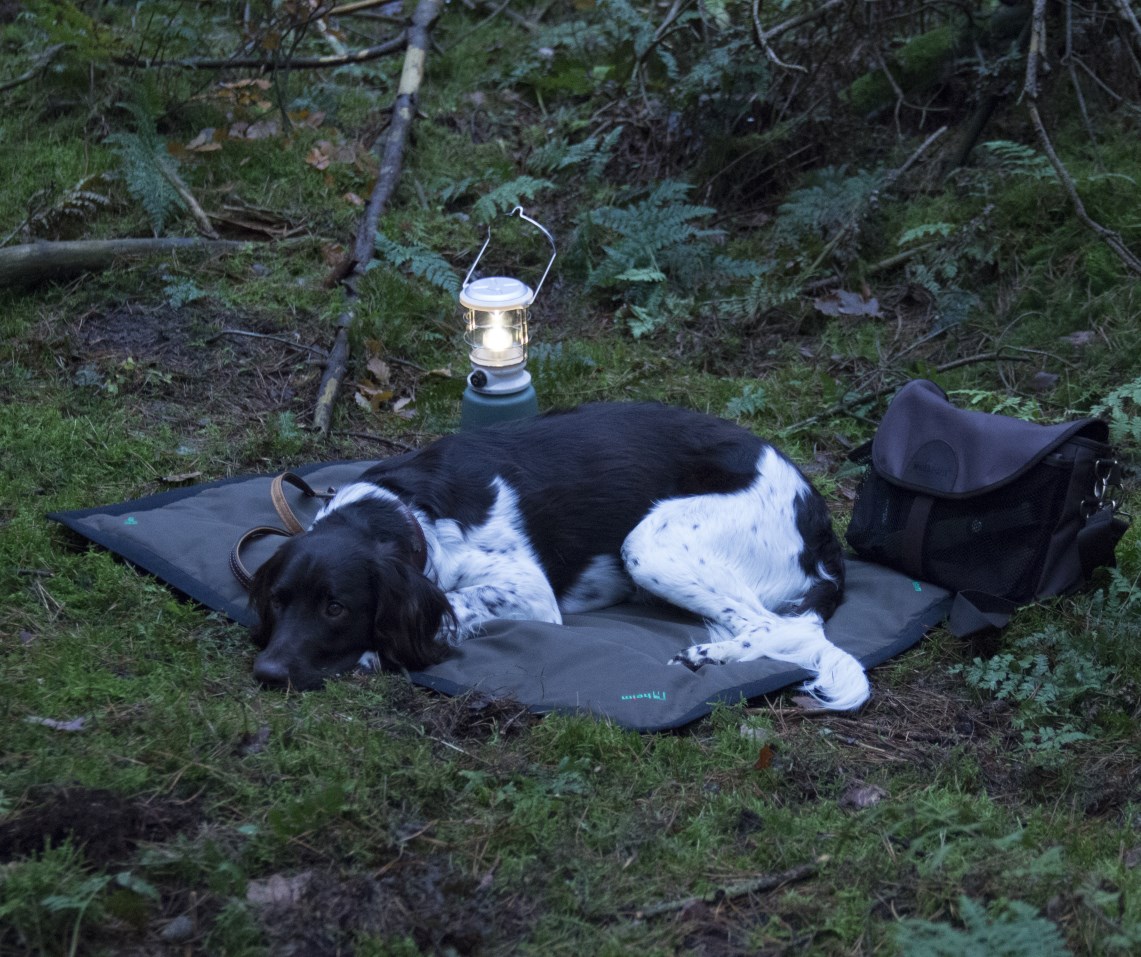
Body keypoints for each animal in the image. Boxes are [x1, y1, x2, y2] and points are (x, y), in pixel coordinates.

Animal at [252, 403, 871, 711]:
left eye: (336, 607)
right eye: (278, 602)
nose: (267, 673)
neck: (401, 510)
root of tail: (815, 510)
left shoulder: (530, 592)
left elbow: (453, 603)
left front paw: (378, 653)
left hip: (649, 544)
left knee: (783, 630)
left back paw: (706, 658)